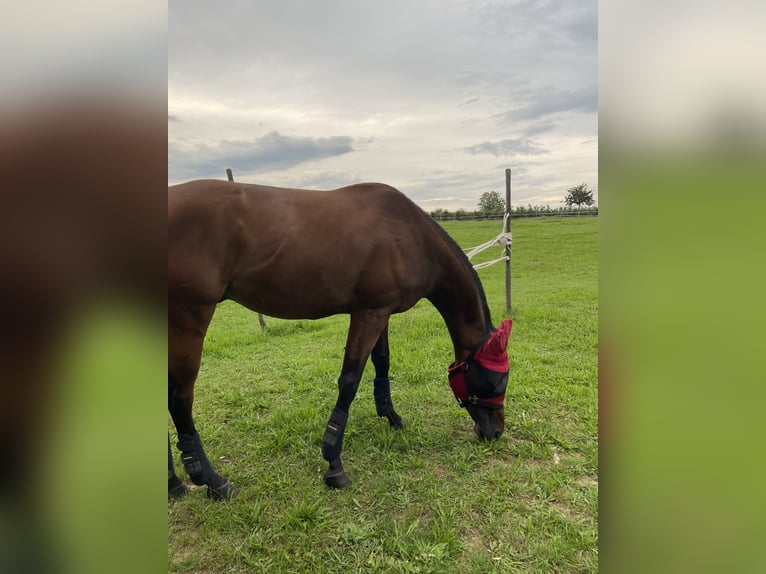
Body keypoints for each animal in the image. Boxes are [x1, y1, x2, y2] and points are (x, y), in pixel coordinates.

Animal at [170, 180, 516, 500]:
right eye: (498, 381)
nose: (495, 431)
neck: (410, 236)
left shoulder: (380, 312)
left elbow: (382, 363)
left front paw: (391, 416)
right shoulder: (369, 314)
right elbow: (350, 381)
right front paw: (334, 463)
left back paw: (174, 484)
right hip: (189, 321)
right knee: (179, 398)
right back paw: (211, 480)